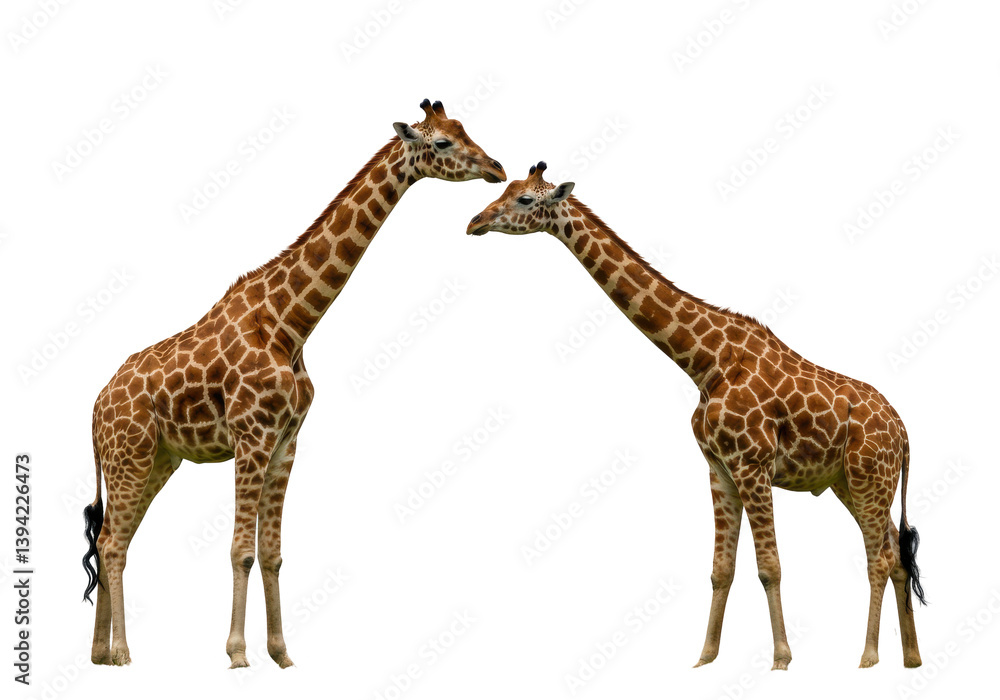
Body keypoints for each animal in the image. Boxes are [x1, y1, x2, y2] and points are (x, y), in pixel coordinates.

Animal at [81, 99, 506, 669]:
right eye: (441, 142)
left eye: (466, 131)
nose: (497, 168)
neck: (291, 323)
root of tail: (95, 408)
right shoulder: (251, 437)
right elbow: (240, 550)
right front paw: (238, 654)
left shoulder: (286, 442)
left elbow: (272, 554)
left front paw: (282, 654)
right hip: (130, 455)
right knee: (111, 542)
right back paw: (124, 652)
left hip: (157, 459)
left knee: (112, 537)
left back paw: (99, 654)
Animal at [467, 162, 925, 670]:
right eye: (506, 189)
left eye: (526, 199)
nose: (474, 222)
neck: (704, 362)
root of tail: (905, 433)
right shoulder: (718, 467)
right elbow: (720, 569)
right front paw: (704, 658)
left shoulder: (752, 465)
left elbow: (769, 567)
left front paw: (781, 659)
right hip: (852, 481)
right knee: (896, 552)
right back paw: (911, 657)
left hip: (869, 477)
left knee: (878, 557)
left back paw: (868, 657)